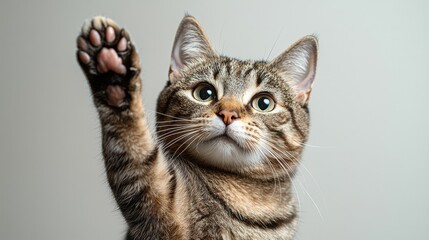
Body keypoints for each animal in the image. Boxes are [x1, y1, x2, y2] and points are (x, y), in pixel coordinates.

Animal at [77, 15, 318, 240]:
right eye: (204, 93)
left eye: (264, 103)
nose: (228, 114)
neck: (249, 198)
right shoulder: (160, 206)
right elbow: (137, 153)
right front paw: (112, 73)